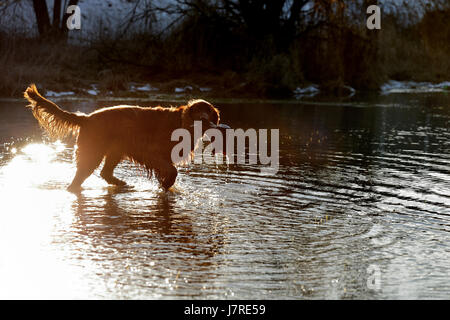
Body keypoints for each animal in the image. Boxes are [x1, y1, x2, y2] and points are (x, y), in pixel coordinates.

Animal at [24, 84, 221, 191]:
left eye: (209, 111)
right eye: (197, 111)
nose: (204, 119)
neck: (181, 123)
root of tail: (86, 118)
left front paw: (165, 185)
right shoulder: (152, 153)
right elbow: (172, 171)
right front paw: (165, 185)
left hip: (115, 151)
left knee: (105, 173)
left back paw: (121, 183)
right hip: (93, 154)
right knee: (78, 180)